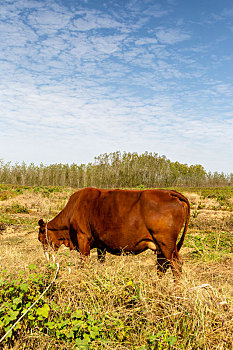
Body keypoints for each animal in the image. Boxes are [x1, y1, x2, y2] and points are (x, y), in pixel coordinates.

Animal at [37, 187, 189, 280]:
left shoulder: (83, 238)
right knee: (162, 265)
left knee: (175, 264)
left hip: (166, 243)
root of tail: (169, 193)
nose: (46, 256)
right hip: (161, 246)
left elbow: (84, 262)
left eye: (40, 238)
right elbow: (101, 262)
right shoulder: (100, 245)